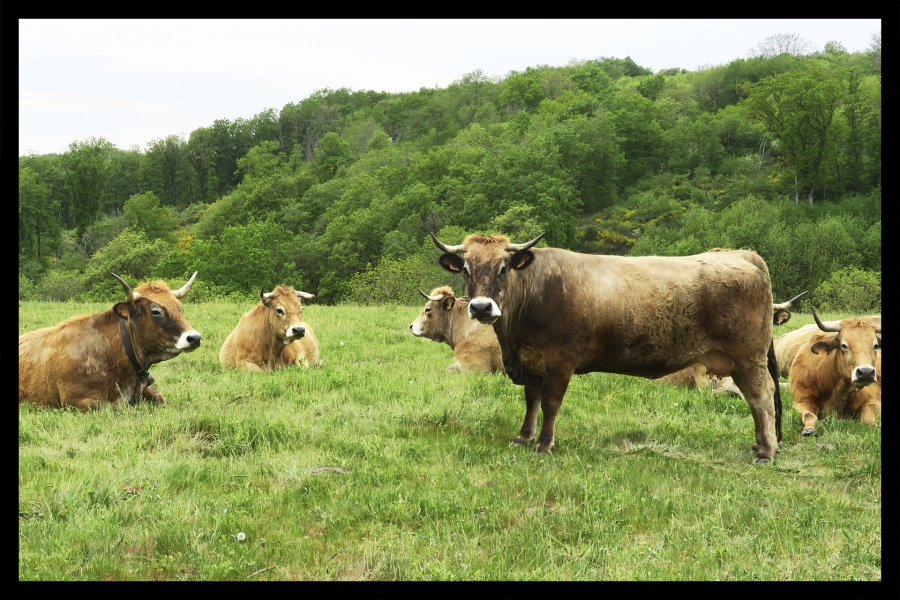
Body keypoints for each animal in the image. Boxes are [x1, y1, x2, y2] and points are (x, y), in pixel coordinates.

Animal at [19, 272, 202, 410]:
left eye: (180, 308)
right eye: (156, 311)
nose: (195, 337)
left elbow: (159, 397)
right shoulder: (75, 402)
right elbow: (110, 407)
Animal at [432, 232, 782, 461]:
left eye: (503, 268)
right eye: (466, 269)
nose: (480, 307)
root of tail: (739, 253)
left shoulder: (560, 359)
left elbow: (550, 403)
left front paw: (544, 444)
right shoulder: (532, 362)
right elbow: (531, 401)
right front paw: (523, 437)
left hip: (748, 356)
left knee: (761, 397)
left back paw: (766, 450)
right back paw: (759, 445)